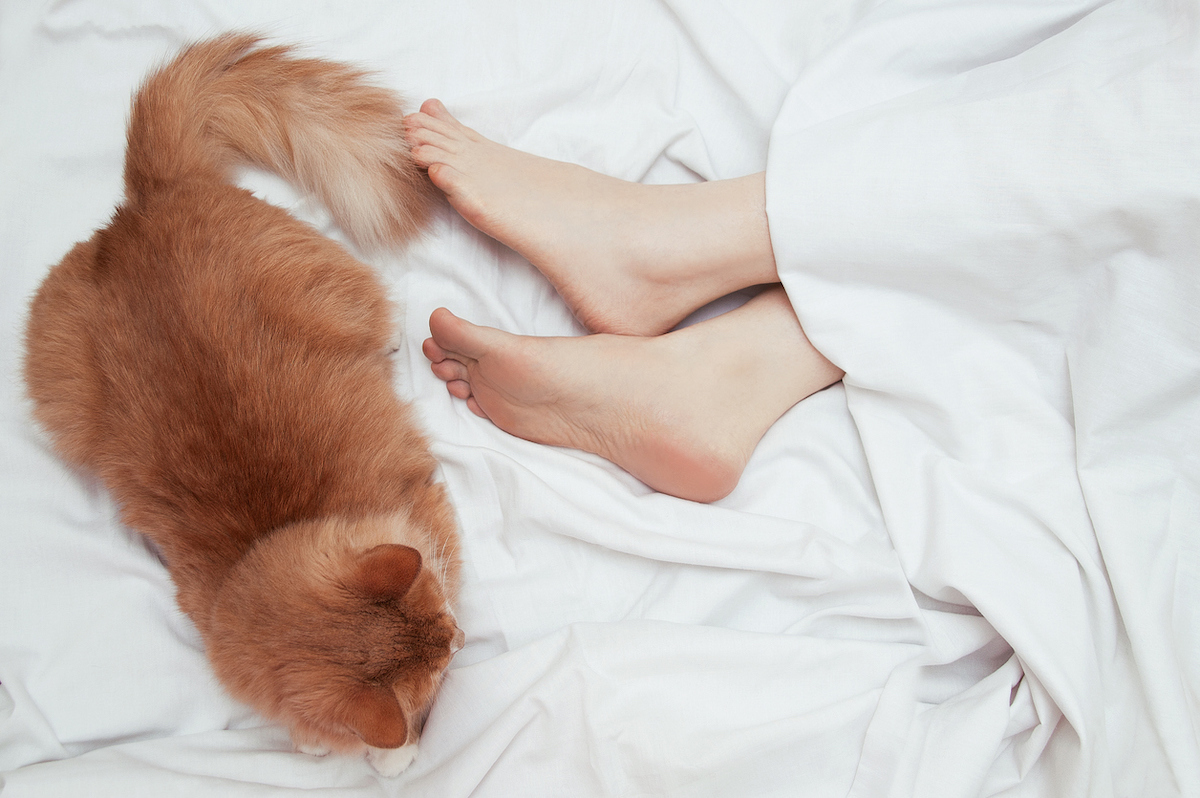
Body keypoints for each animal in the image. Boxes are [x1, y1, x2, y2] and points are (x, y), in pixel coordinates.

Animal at [24, 35, 463, 772]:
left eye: (444, 630)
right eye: (440, 652)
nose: (459, 636)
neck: (272, 536)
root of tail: (143, 204)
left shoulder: (431, 516)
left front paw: (393, 753)